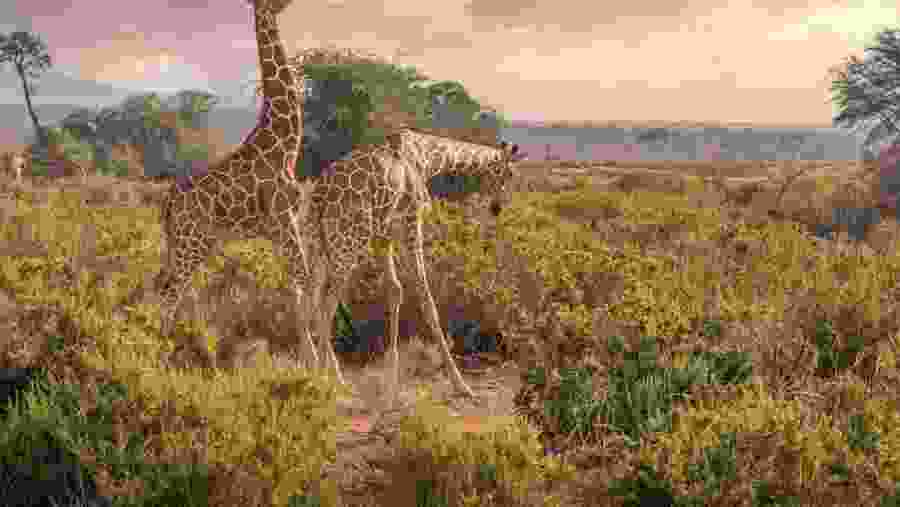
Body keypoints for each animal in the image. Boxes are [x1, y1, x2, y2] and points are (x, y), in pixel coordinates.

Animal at [153, 0, 316, 363]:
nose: (290, 3)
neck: (286, 143)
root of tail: (169, 202)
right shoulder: (285, 220)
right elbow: (304, 280)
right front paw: (322, 366)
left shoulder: (279, 229)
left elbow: (294, 288)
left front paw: (312, 361)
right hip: (191, 244)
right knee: (170, 295)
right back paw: (156, 361)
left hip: (186, 244)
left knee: (167, 288)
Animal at [299, 127, 524, 401]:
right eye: (509, 174)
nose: (496, 208)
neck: (427, 157)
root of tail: (318, 197)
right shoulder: (410, 223)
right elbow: (427, 299)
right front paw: (461, 385)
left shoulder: (383, 236)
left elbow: (395, 290)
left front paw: (391, 378)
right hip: (348, 243)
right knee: (327, 304)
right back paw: (326, 381)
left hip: (318, 244)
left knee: (308, 298)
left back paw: (314, 374)